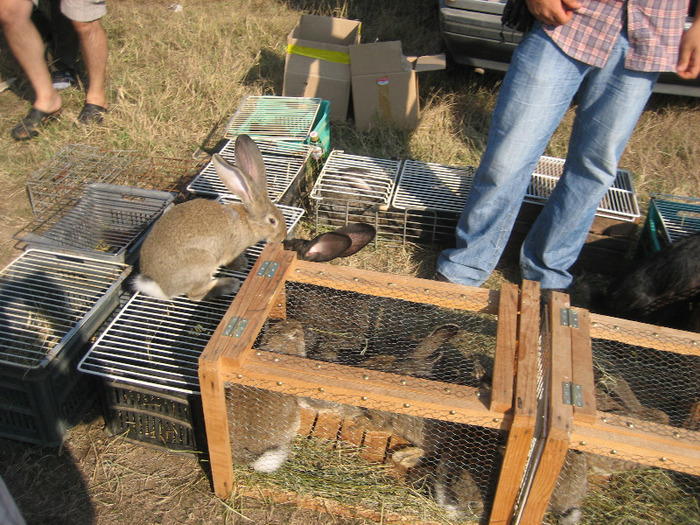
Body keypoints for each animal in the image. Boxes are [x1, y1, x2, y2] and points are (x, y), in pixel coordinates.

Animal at [134, 133, 288, 300]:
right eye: (272, 221)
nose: (282, 237)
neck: (248, 222)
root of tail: (159, 288)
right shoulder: (233, 250)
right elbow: (232, 261)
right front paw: (242, 265)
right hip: (202, 263)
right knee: (196, 294)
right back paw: (229, 284)